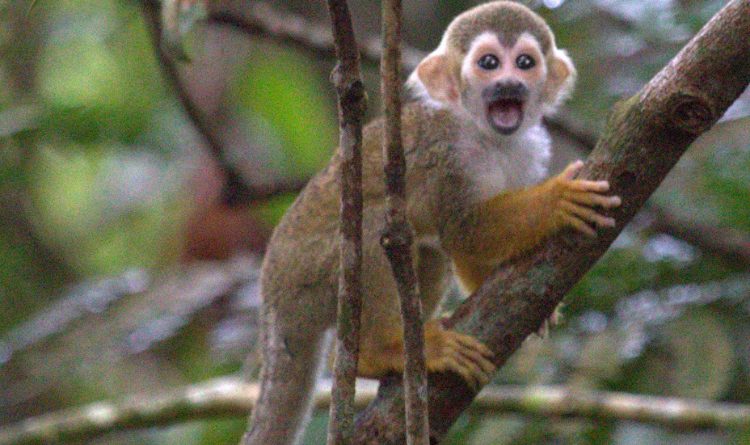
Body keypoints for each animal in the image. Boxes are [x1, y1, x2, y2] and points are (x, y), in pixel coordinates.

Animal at [243, 2, 621, 444]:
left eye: (525, 63)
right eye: (489, 63)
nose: (509, 82)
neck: (485, 134)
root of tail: (271, 298)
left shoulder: (527, 153)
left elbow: (464, 247)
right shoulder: (447, 155)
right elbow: (464, 228)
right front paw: (557, 198)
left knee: (427, 250)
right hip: (310, 278)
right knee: (373, 231)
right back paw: (379, 351)